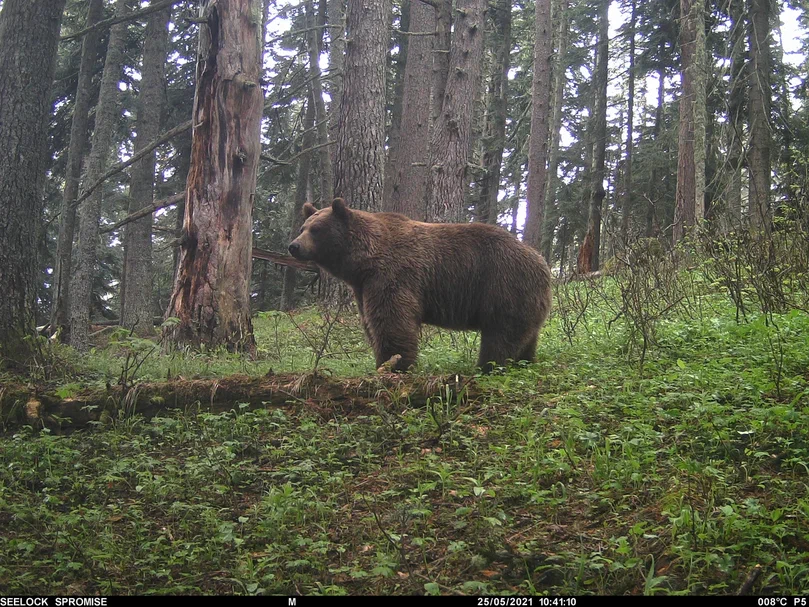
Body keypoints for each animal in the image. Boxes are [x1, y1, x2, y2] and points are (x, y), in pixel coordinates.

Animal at [288, 200, 552, 372]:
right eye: (303, 227)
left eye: (317, 229)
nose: (294, 246)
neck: (363, 263)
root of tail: (542, 263)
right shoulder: (363, 287)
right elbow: (371, 323)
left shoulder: (394, 274)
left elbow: (392, 321)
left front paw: (395, 364)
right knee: (525, 335)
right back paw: (525, 361)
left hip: (503, 284)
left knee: (501, 335)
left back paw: (487, 366)